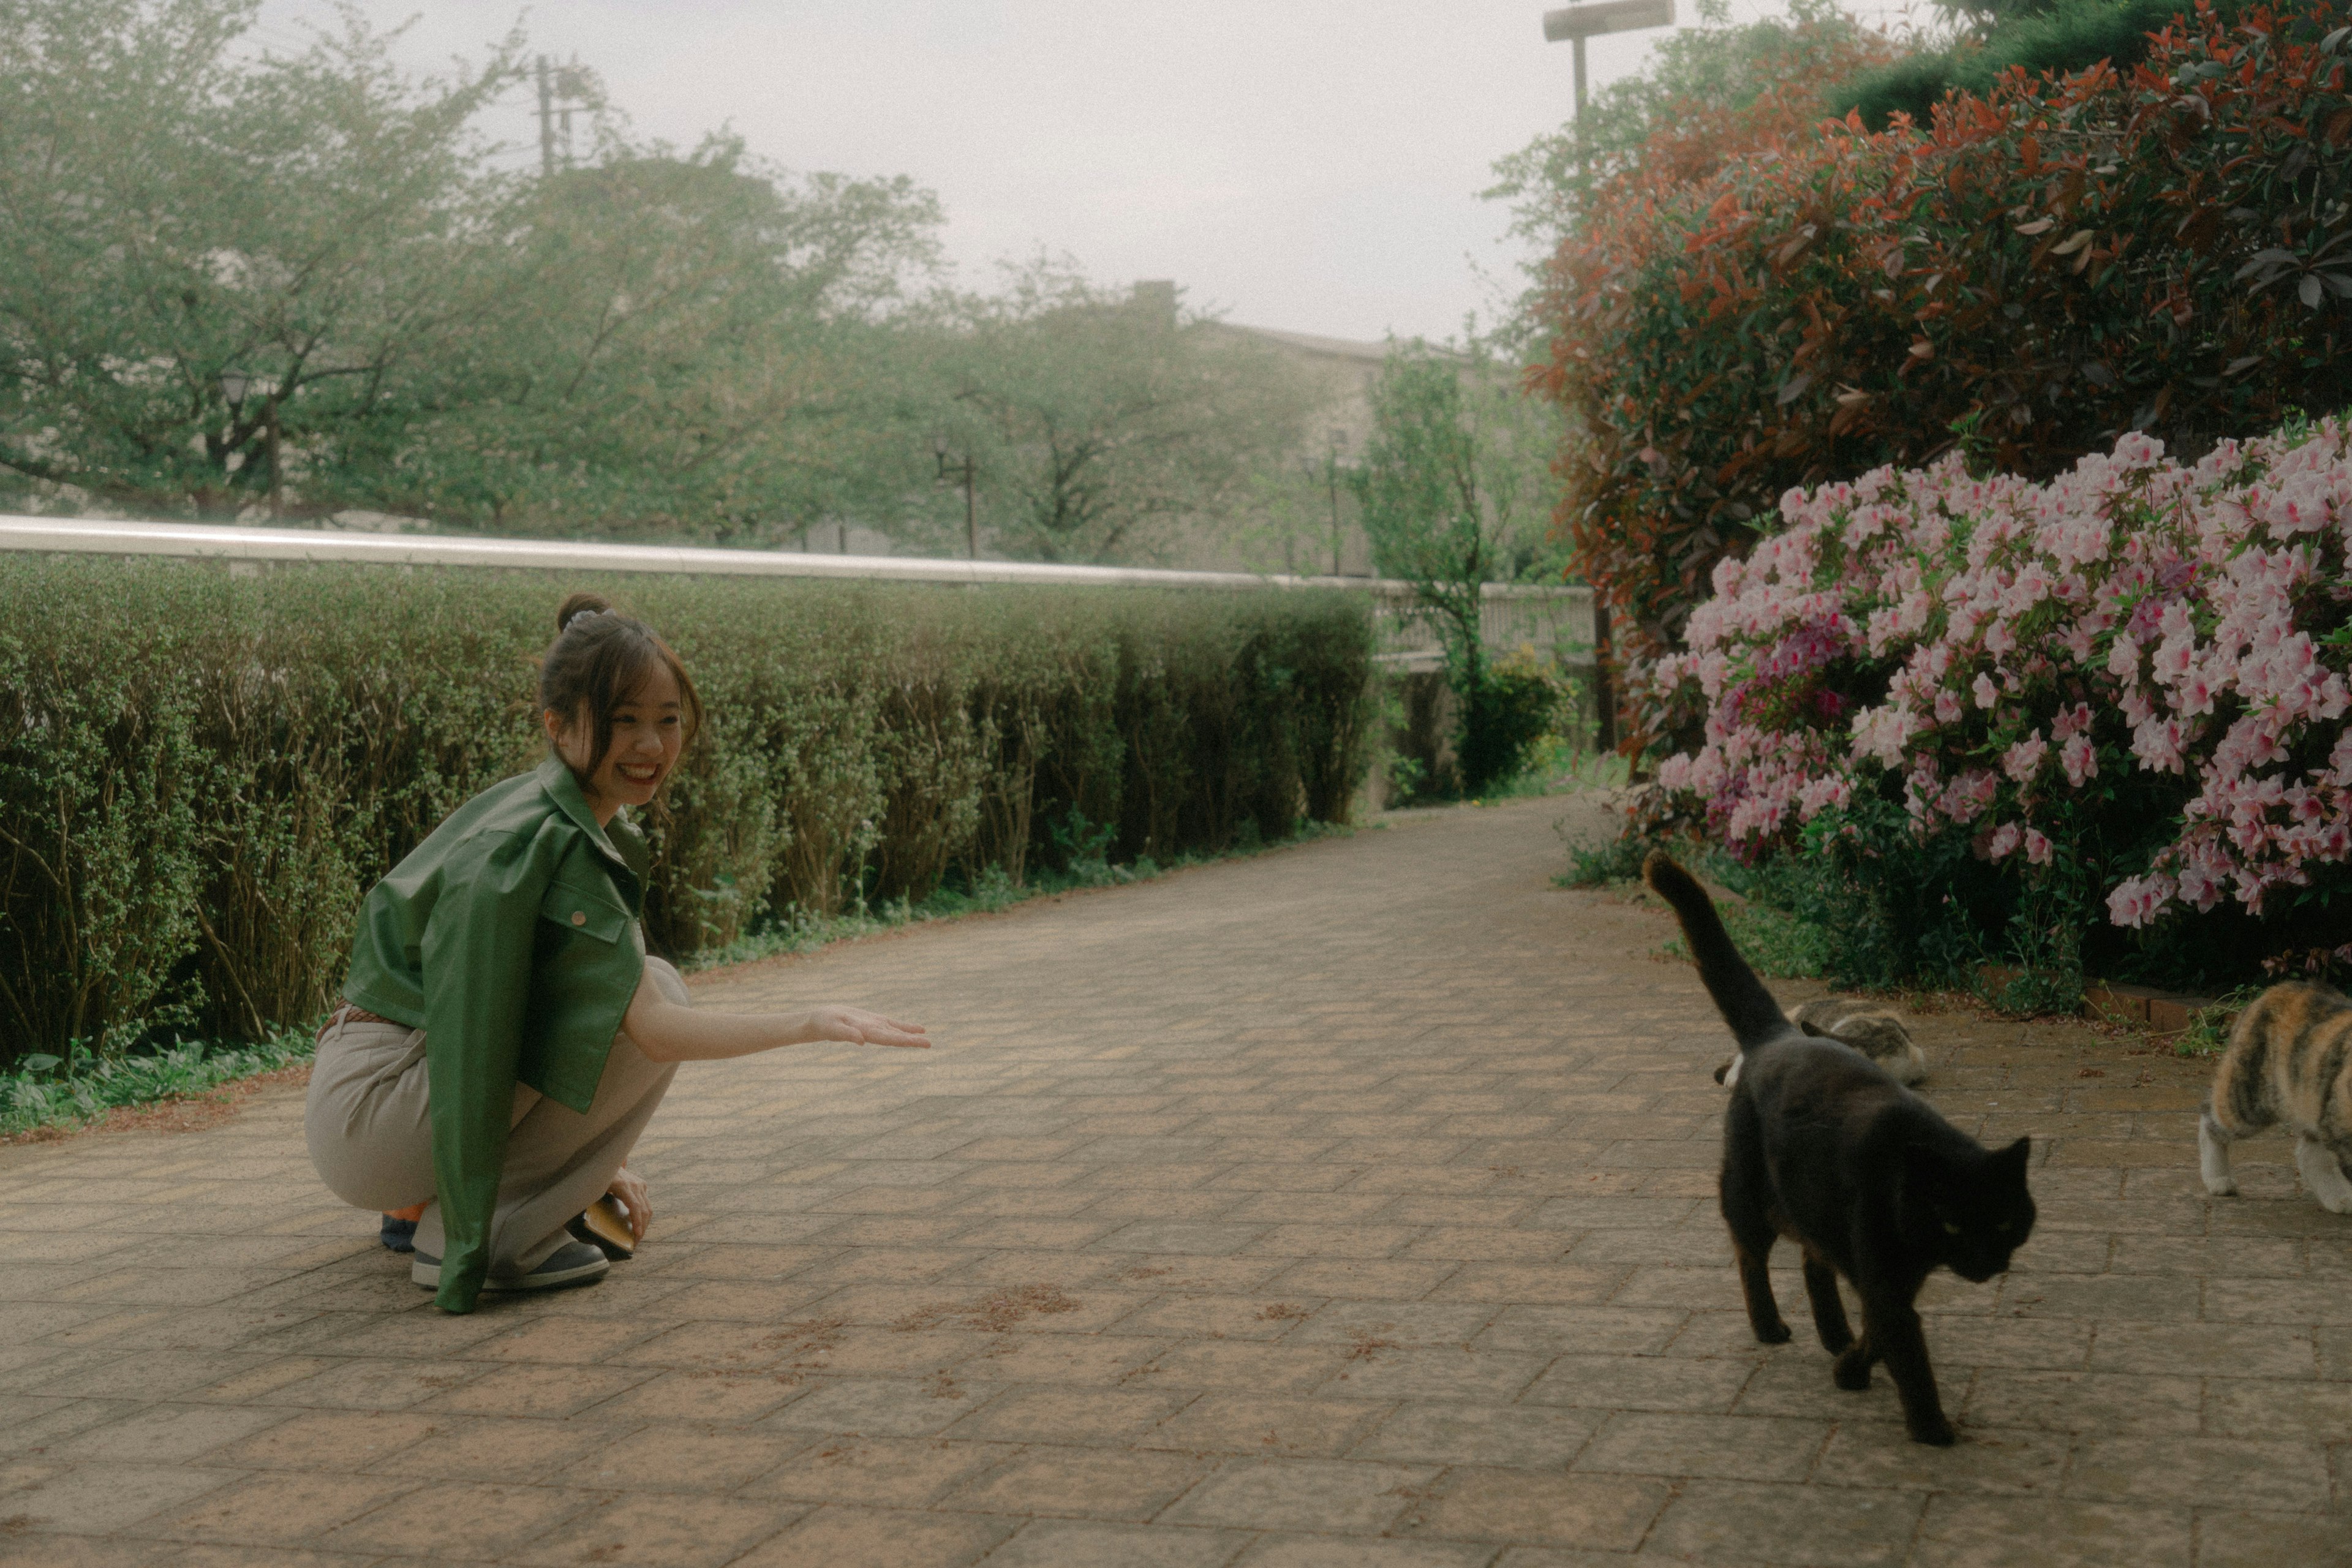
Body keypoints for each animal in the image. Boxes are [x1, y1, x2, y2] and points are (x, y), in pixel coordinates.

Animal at [1637, 860, 2041, 1448]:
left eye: (2006, 1221)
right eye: (1953, 1224)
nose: (1988, 1262)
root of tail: (1777, 1035)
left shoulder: (1893, 1278)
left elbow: (1881, 1329)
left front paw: (1850, 1368)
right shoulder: (1887, 1278)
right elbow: (1906, 1351)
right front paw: (1932, 1429)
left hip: (1811, 1201)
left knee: (1813, 1261)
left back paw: (1833, 1335)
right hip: (1748, 1195)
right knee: (1750, 1255)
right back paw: (1770, 1327)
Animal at [2192, 982, 2352, 1213]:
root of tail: (2276, 990)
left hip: (2310, 1101)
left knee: (2308, 1153)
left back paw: (2338, 1199)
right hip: (2249, 1100)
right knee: (2210, 1119)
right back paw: (2218, 1180)